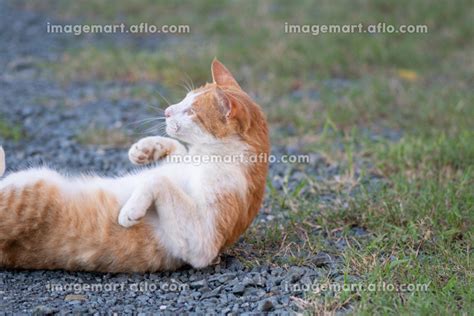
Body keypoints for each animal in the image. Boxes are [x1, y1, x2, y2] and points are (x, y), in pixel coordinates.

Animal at [0, 59, 268, 272]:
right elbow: (178, 151)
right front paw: (145, 149)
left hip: (27, 187)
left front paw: (131, 210)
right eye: (185, 98)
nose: (167, 111)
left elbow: (158, 179)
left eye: (191, 111)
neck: (207, 156)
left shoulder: (204, 242)